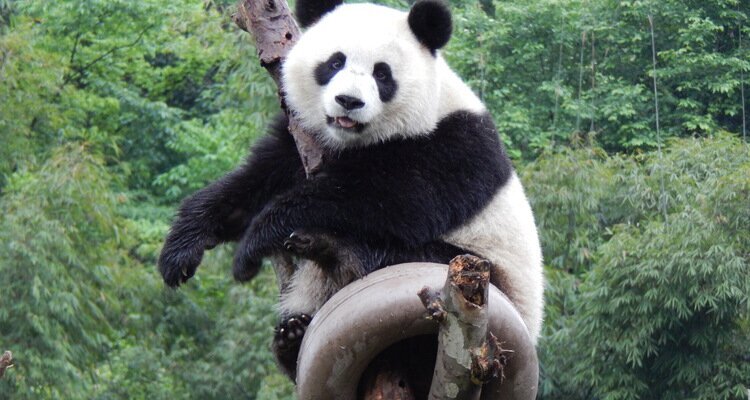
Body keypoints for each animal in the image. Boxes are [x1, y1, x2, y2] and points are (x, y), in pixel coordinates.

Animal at [158, 0, 543, 380]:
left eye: (382, 74)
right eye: (334, 62)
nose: (348, 101)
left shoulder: (454, 147)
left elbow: (390, 200)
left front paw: (252, 247)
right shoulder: (302, 136)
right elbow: (253, 184)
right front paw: (181, 251)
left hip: (480, 278)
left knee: (404, 255)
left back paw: (333, 249)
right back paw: (292, 337)